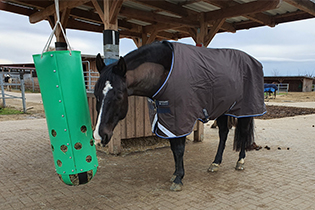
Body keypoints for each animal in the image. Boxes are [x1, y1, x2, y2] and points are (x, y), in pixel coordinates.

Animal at [94, 40, 266, 191]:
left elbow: (179, 149)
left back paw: (240, 161)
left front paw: (178, 179)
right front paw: (176, 174)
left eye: (118, 96)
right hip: (223, 109)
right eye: (96, 95)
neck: (165, 73)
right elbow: (173, 148)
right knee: (223, 134)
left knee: (243, 133)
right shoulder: (168, 120)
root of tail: (254, 61)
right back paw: (215, 163)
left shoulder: (181, 118)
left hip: (245, 111)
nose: (99, 135)